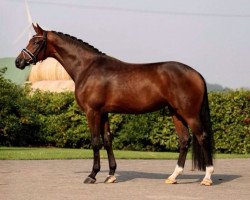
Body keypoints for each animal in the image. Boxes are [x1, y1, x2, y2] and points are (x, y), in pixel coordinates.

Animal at [15, 24, 214, 186]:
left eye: (36, 41)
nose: (19, 61)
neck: (87, 68)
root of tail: (196, 73)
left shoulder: (92, 112)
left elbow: (95, 141)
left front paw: (92, 175)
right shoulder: (103, 113)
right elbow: (108, 140)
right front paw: (110, 175)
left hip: (190, 114)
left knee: (202, 137)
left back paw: (207, 177)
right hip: (176, 113)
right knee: (184, 140)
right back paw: (173, 177)